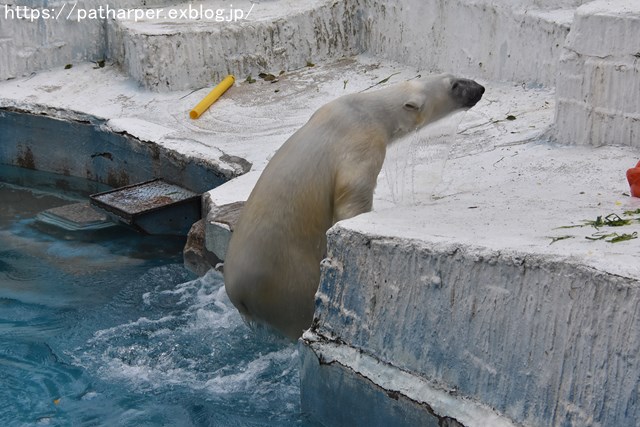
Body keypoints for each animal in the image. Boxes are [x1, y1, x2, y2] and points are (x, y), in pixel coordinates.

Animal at [222, 74, 482, 342]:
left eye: (459, 78)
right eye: (454, 85)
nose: (480, 89)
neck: (365, 108)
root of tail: (239, 296)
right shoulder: (362, 140)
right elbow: (353, 193)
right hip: (286, 285)